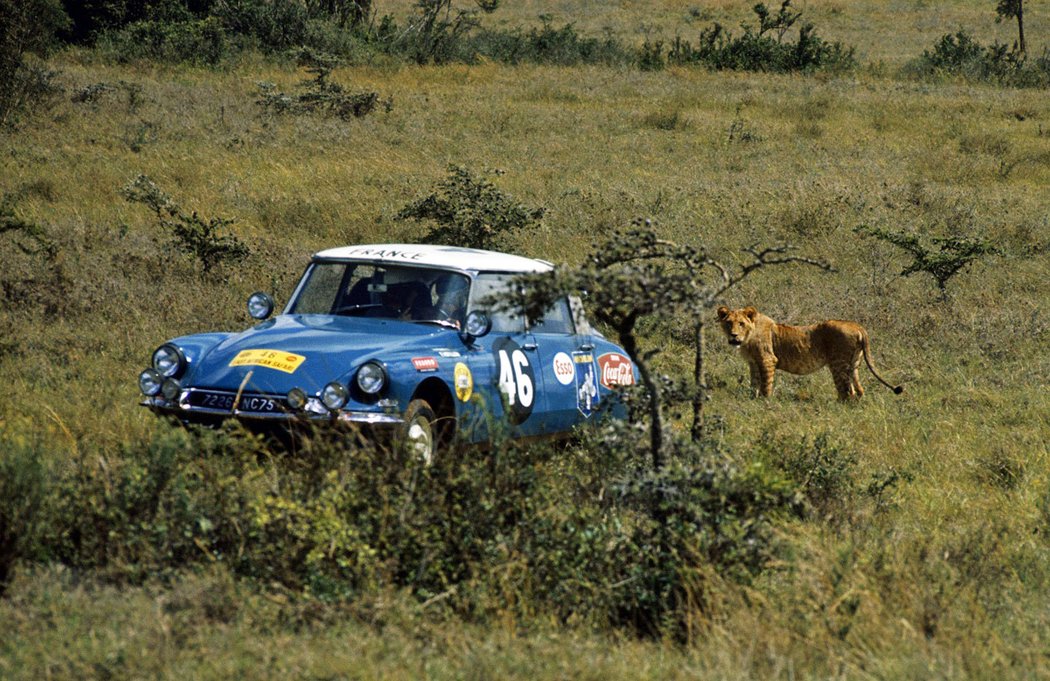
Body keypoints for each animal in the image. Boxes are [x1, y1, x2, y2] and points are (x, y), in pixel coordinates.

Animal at [718, 304, 907, 398]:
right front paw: (752, 400)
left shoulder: (767, 360)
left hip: (838, 363)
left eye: (741, 323)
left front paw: (765, 403)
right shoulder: (753, 363)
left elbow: (766, 385)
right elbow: (754, 384)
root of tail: (857, 326)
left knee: (847, 391)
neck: (747, 339)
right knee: (859, 389)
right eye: (728, 323)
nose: (734, 336)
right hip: (854, 363)